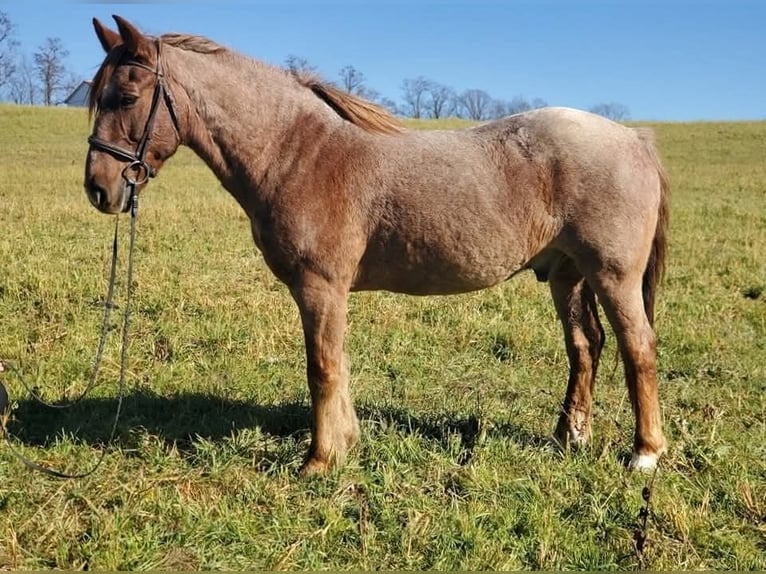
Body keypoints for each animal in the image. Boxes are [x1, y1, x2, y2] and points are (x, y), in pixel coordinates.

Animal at [85, 16, 672, 476]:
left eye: (127, 97)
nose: (99, 188)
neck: (298, 152)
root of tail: (633, 138)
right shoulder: (326, 292)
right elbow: (337, 363)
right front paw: (345, 443)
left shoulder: (320, 287)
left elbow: (321, 367)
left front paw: (319, 460)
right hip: (567, 274)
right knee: (585, 346)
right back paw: (570, 436)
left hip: (613, 274)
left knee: (637, 347)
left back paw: (645, 453)